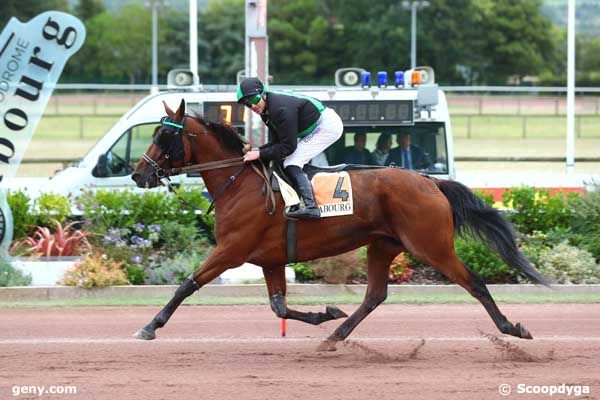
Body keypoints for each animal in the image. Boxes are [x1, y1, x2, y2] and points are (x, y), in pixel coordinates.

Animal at [131, 99, 548, 350]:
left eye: (164, 135)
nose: (138, 175)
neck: (239, 182)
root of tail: (430, 181)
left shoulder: (231, 250)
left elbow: (187, 284)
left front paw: (150, 326)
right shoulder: (270, 260)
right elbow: (280, 307)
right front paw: (326, 313)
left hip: (431, 247)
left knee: (475, 282)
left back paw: (513, 328)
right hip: (383, 245)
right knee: (375, 295)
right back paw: (334, 334)